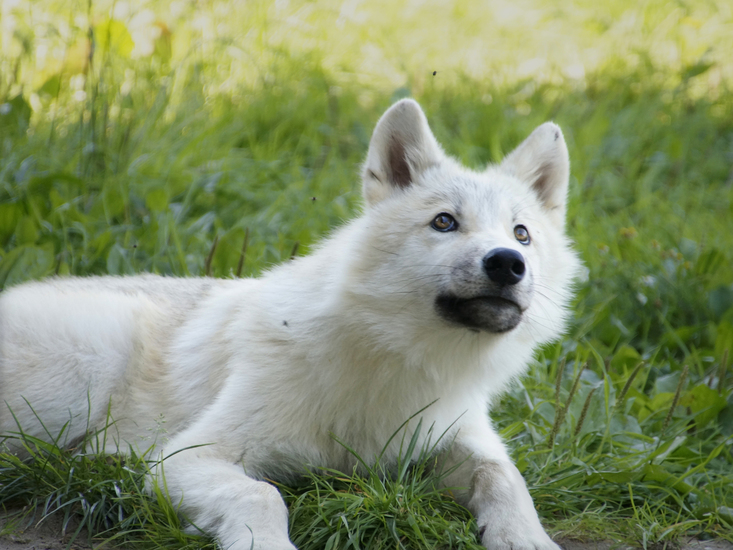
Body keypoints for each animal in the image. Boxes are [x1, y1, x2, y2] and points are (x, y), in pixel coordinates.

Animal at [0, 99, 580, 549]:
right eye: (444, 222)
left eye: (522, 233)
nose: (507, 263)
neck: (388, 362)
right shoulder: (185, 458)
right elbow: (264, 493)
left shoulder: (455, 438)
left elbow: (505, 476)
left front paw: (526, 538)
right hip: (90, 366)